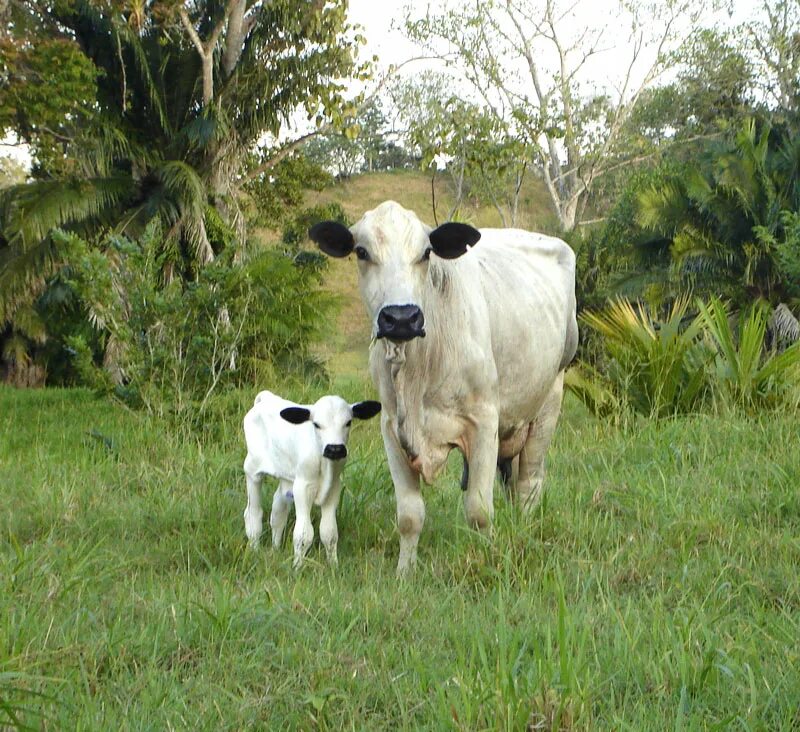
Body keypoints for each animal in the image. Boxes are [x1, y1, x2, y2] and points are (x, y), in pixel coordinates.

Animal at [241, 392, 382, 568]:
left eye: (348, 422)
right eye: (316, 424)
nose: (335, 449)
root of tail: (266, 397)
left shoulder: (334, 487)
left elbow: (329, 532)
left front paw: (333, 566)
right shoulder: (303, 487)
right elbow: (303, 534)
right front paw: (297, 567)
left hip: (287, 477)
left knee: (278, 511)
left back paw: (275, 549)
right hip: (252, 468)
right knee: (252, 513)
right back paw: (255, 550)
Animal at [310, 200, 580, 572]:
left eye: (426, 253)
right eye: (361, 251)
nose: (401, 318)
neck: (417, 369)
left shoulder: (484, 422)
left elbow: (479, 511)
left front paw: (485, 561)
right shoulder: (391, 428)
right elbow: (409, 515)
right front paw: (405, 572)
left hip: (549, 400)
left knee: (528, 484)